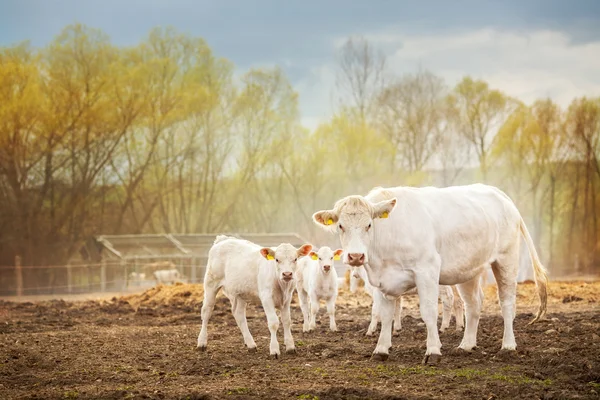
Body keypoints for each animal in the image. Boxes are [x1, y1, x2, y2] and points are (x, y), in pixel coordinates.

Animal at [314, 183, 548, 364]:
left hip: (506, 260)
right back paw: (466, 344)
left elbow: (428, 312)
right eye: (341, 226)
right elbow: (385, 315)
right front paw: (380, 350)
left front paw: (433, 351)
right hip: (468, 270)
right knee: (473, 304)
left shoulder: (426, 270)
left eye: (369, 225)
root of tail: (497, 192)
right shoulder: (382, 281)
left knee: (507, 302)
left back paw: (507, 346)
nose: (356, 256)